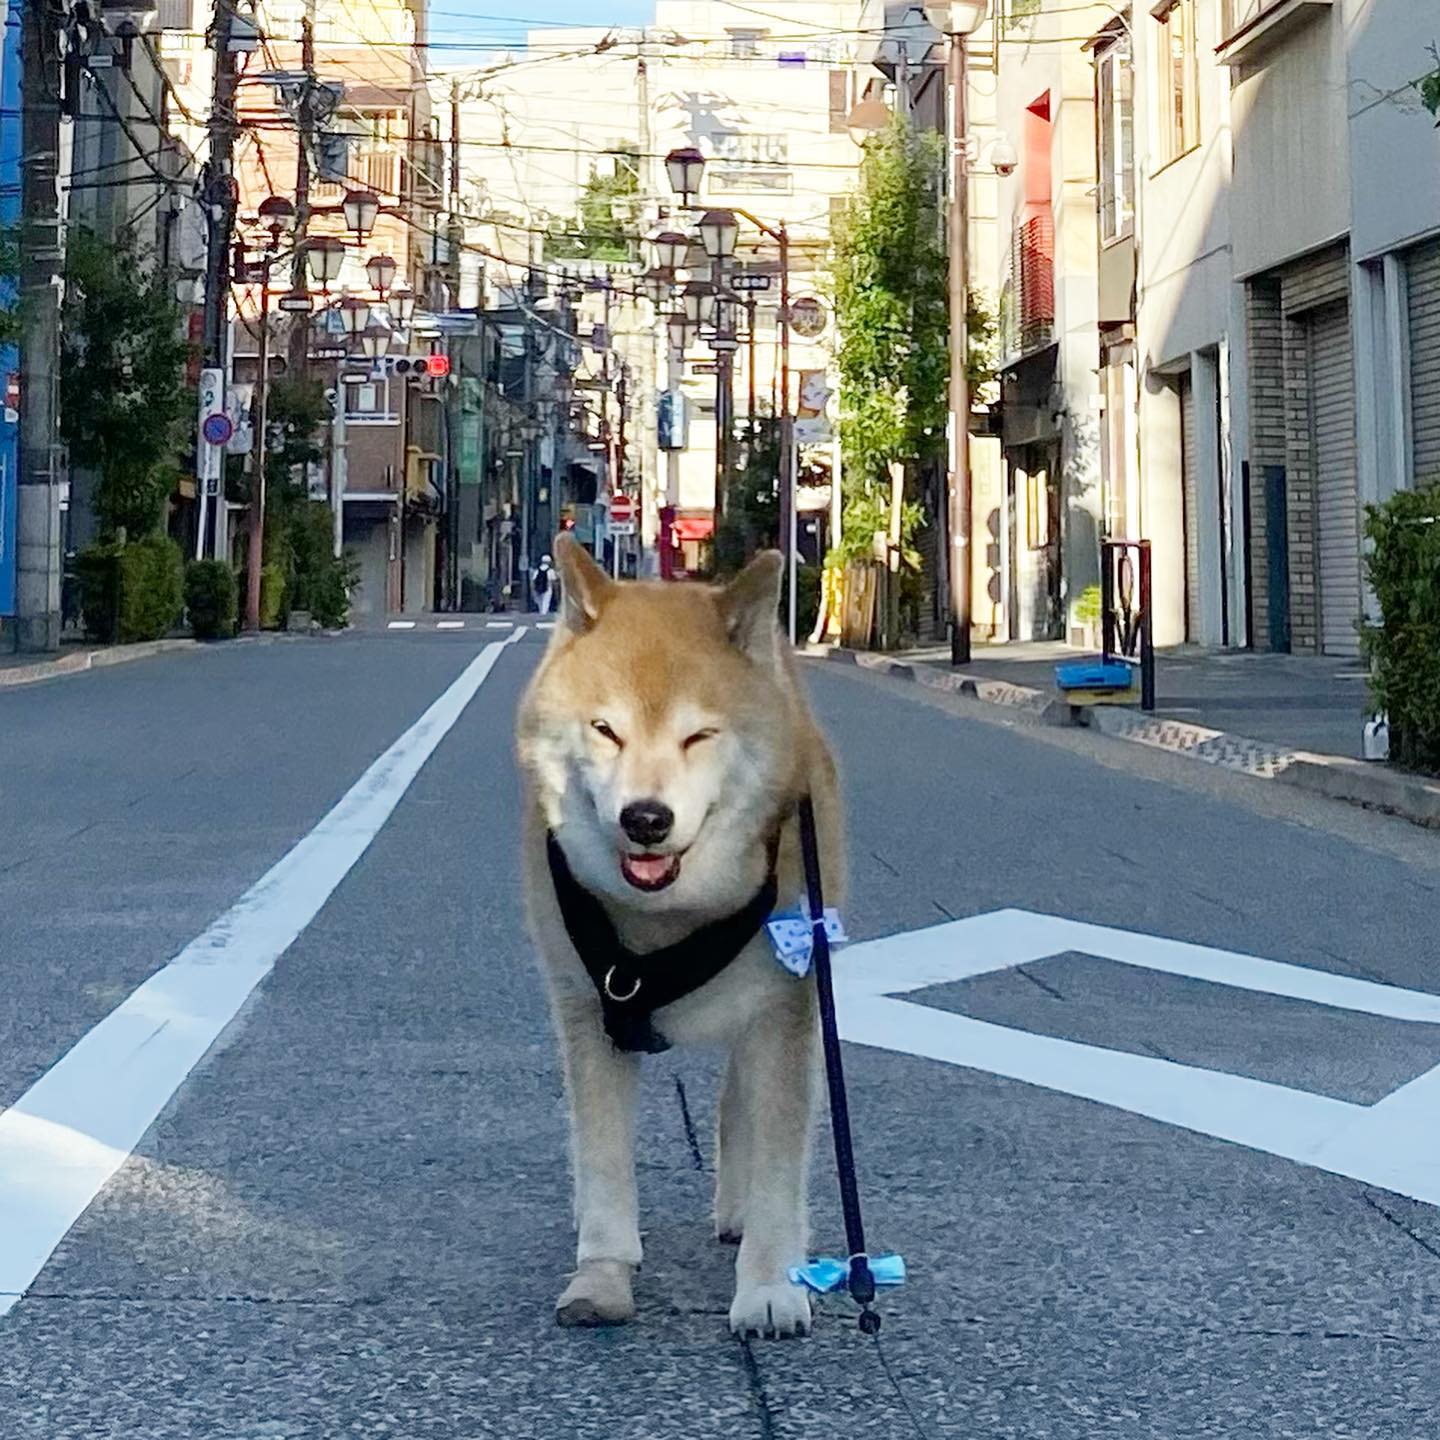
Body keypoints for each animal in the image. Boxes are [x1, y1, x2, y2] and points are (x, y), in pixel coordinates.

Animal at [518, 538, 840, 1336]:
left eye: (699, 735)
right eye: (605, 730)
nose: (645, 818)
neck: (670, 914)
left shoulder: (783, 1008)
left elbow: (779, 1160)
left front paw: (769, 1286)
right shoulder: (588, 1012)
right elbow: (604, 1158)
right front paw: (601, 1276)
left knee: (738, 1104)